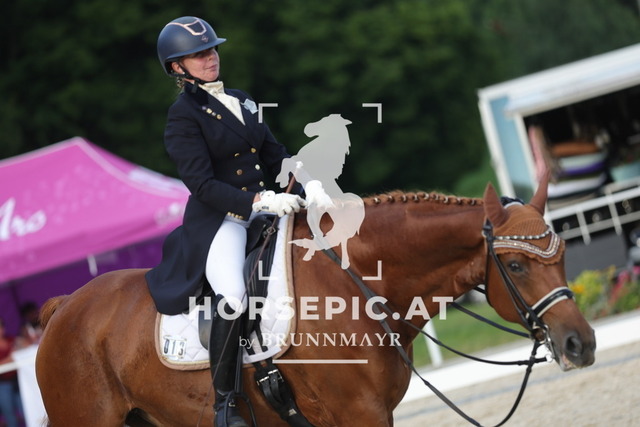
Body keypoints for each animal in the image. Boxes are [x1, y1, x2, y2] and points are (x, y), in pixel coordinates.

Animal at [35, 178, 596, 426]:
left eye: (565, 253)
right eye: (516, 266)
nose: (581, 344)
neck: (359, 286)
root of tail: (64, 308)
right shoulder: (360, 415)